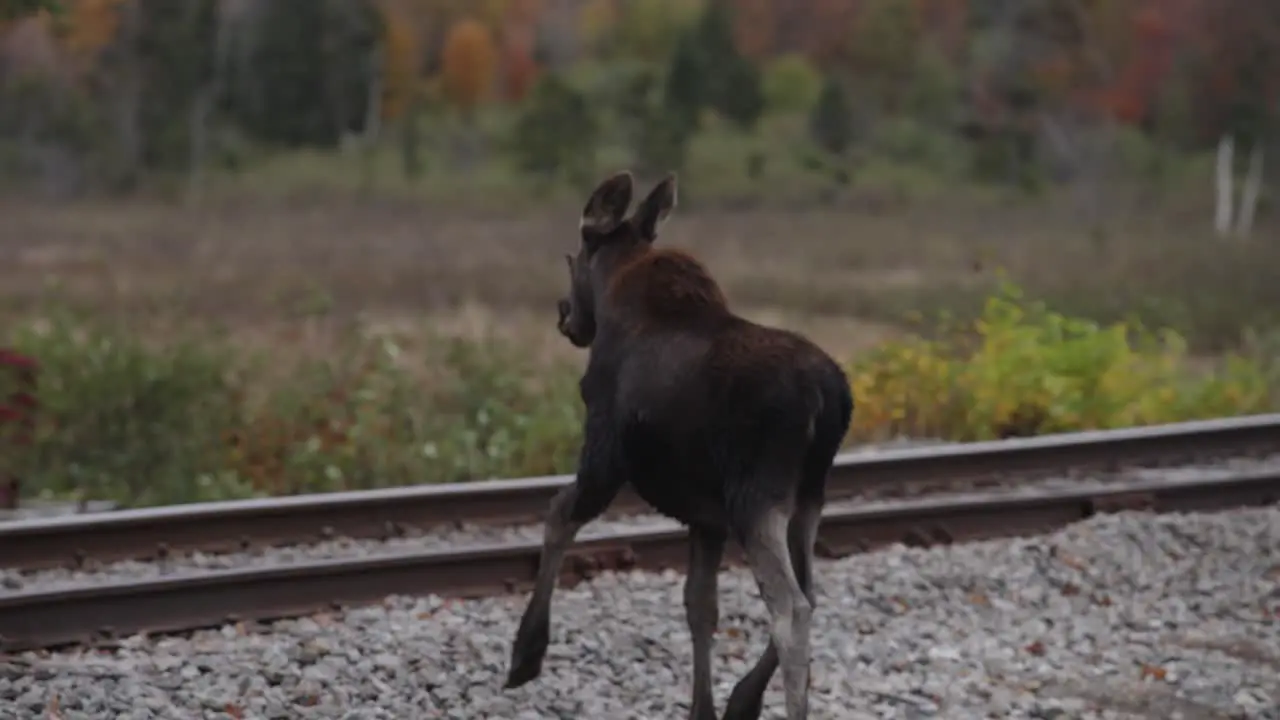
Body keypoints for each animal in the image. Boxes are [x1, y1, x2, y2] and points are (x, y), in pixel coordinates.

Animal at [504, 172, 855, 717]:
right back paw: (744, 697)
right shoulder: (706, 518)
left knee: (790, 608)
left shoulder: (604, 453)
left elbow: (558, 514)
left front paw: (526, 654)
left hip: (757, 495)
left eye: (577, 252)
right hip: (809, 497)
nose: (565, 316)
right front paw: (703, 708)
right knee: (811, 593)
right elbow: (700, 606)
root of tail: (829, 397)